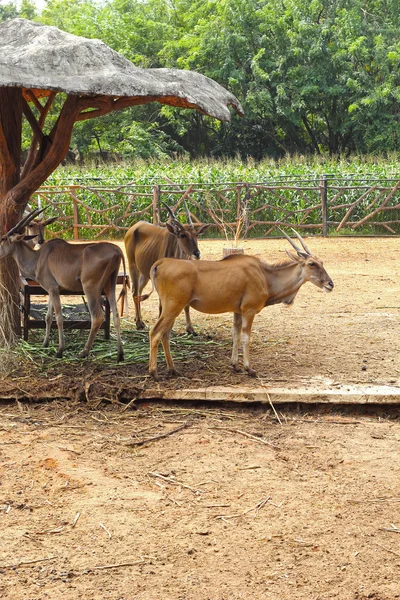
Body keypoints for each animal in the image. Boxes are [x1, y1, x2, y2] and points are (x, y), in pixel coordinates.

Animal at [0, 210, 127, 358]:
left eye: (3, 238)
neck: (38, 258)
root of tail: (117, 250)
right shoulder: (51, 290)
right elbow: (48, 317)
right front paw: (45, 344)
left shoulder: (53, 289)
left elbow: (59, 318)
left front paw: (60, 350)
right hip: (110, 285)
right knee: (116, 316)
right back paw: (120, 354)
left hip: (90, 288)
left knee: (97, 317)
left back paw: (84, 351)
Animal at [123, 202, 208, 332]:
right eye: (182, 235)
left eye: (196, 234)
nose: (197, 253)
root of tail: (133, 228)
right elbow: (161, 305)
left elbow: (186, 305)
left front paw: (190, 328)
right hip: (133, 265)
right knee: (135, 292)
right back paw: (139, 323)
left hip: (145, 273)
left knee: (139, 291)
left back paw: (138, 319)